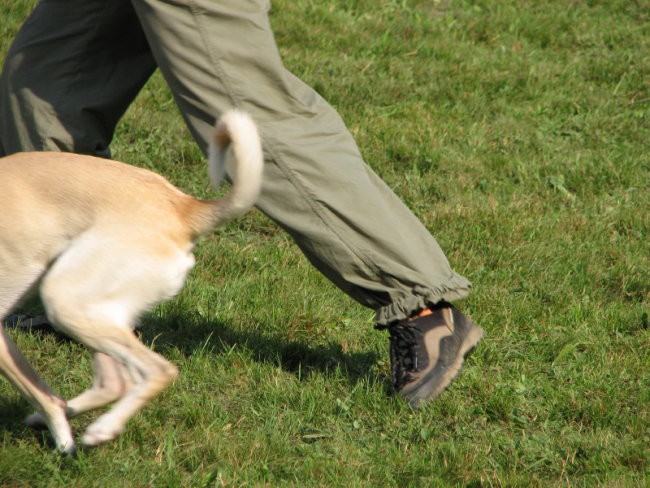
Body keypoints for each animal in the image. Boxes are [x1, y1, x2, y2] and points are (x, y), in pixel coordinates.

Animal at [0, 110, 264, 454]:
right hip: (95, 309)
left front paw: (63, 443)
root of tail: (182, 208)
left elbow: (40, 394)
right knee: (114, 382)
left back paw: (102, 428)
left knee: (158, 371)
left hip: (65, 299)